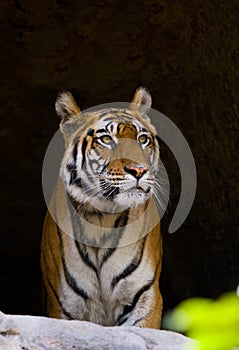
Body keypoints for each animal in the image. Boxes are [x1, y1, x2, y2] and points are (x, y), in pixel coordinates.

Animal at [40, 87, 164, 328]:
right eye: (106, 139)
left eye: (143, 139)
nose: (139, 170)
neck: (101, 218)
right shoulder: (63, 305)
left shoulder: (145, 294)